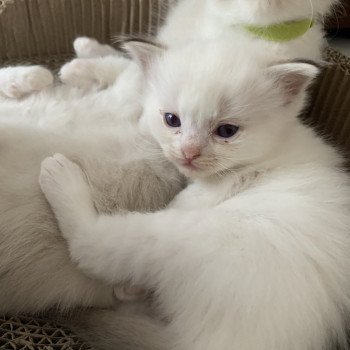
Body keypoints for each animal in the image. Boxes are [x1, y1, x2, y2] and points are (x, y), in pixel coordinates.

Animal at [38, 37, 350, 348]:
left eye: (227, 131)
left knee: (88, 246)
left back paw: (60, 175)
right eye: (171, 119)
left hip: (185, 235)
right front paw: (85, 57)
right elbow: (134, 73)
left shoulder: (206, 194)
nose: (189, 152)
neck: (275, 147)